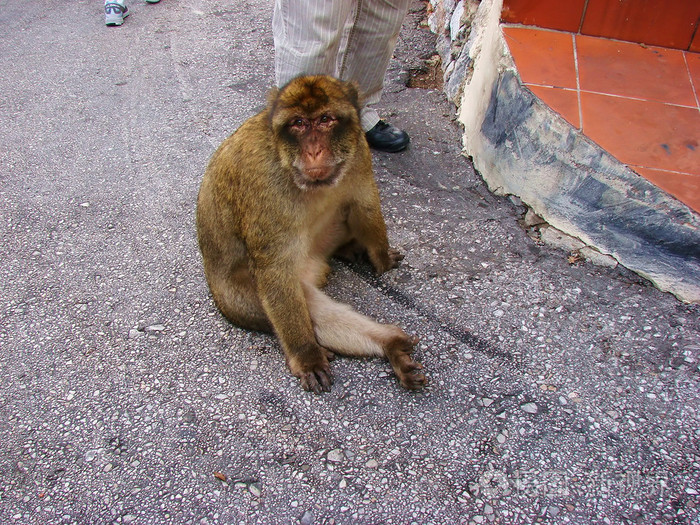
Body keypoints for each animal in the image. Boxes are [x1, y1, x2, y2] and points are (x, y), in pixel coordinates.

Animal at [197, 73, 426, 392]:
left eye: (325, 119)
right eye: (299, 123)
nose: (314, 150)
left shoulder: (358, 149)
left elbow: (364, 205)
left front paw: (381, 257)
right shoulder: (262, 182)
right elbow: (275, 269)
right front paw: (307, 357)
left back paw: (390, 341)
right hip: (238, 299)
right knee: (306, 308)